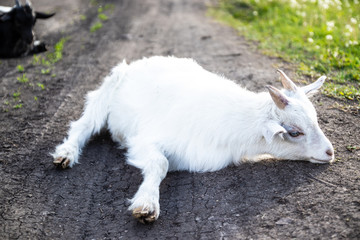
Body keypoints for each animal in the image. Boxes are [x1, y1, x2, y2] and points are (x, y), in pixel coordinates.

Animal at [52, 55, 334, 223]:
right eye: (294, 132)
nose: (330, 152)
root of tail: (137, 63)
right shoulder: (142, 141)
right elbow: (161, 163)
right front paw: (146, 205)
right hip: (105, 93)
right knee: (83, 125)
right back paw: (66, 154)